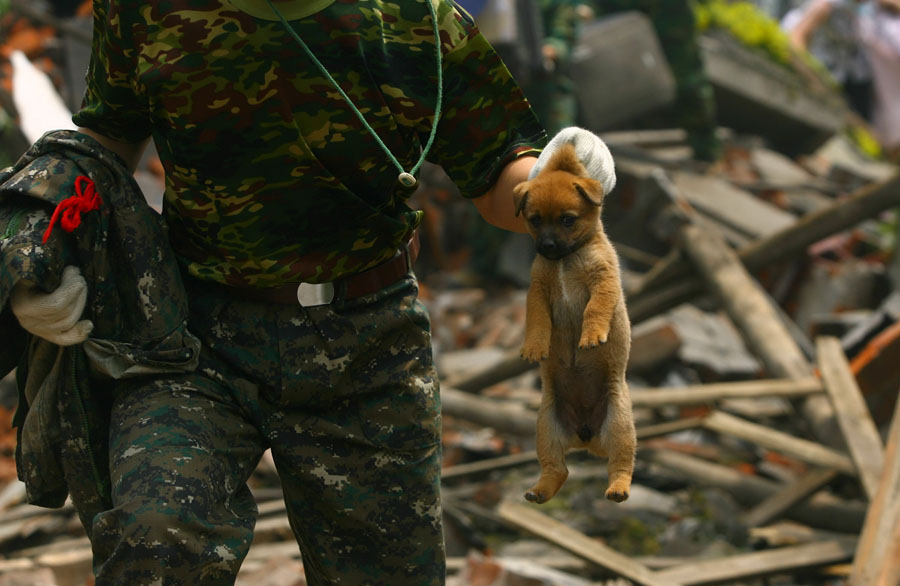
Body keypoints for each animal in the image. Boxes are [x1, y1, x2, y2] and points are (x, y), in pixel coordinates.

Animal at [512, 141, 632, 502]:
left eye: (567, 220)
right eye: (535, 220)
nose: (547, 245)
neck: (565, 260)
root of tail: (586, 437)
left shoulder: (603, 282)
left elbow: (595, 310)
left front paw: (591, 334)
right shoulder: (538, 291)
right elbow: (538, 322)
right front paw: (535, 346)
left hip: (620, 424)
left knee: (621, 466)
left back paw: (618, 488)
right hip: (546, 427)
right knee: (557, 469)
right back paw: (540, 491)